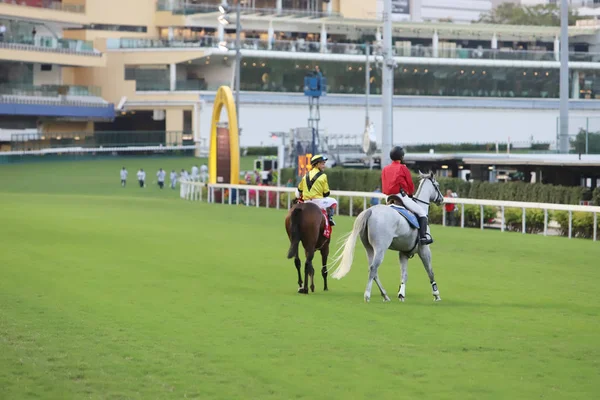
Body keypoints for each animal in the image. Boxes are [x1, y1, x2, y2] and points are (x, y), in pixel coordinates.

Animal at [330, 170, 442, 302]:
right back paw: (367, 295)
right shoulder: (424, 250)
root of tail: (370, 211)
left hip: (369, 248)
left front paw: (401, 294)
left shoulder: (403, 253)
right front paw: (436, 294)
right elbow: (430, 271)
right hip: (380, 248)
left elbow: (404, 274)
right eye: (437, 185)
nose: (442, 199)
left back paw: (384, 295)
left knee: (372, 270)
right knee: (373, 268)